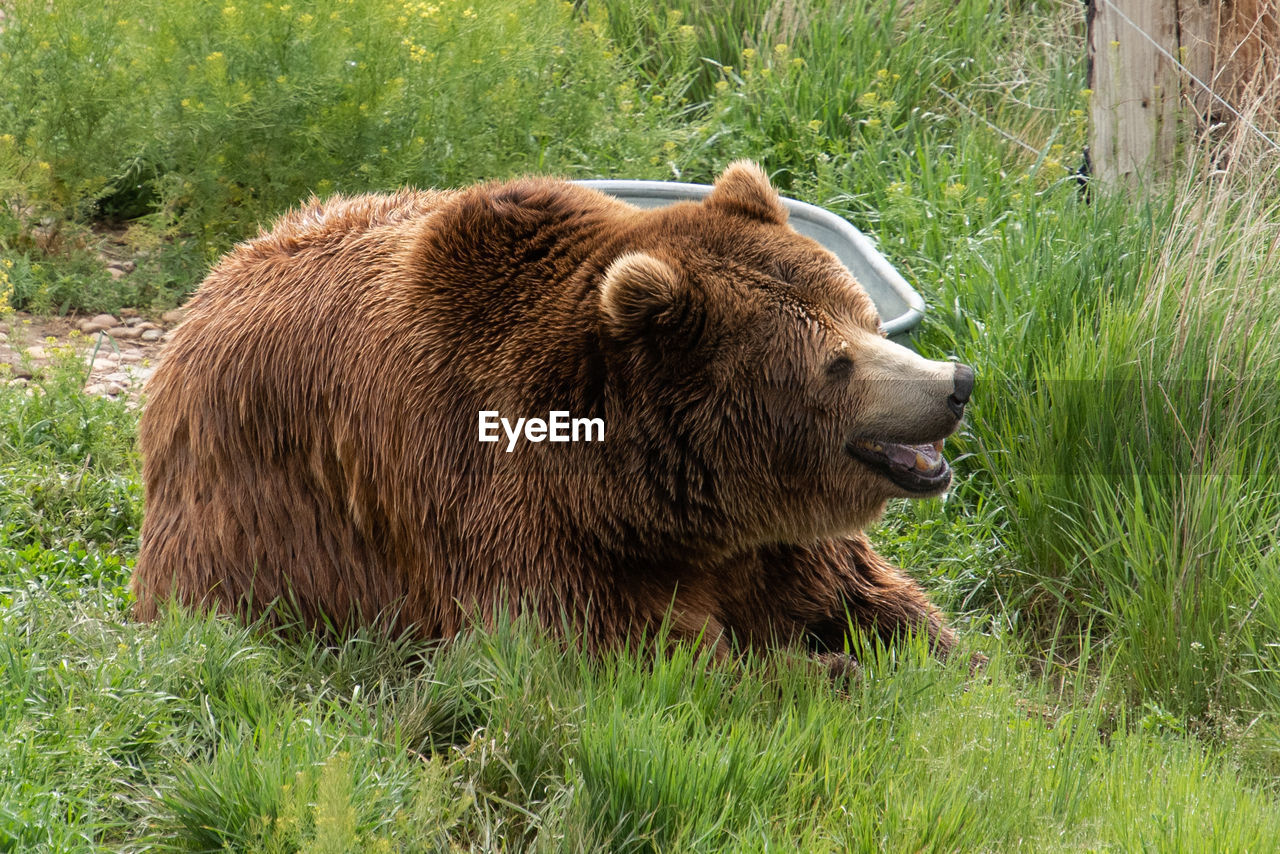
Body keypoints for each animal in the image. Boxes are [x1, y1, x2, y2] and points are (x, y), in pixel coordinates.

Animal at [132, 163, 967, 665]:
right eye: (835, 362)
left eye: (864, 316)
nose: (955, 382)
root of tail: (216, 279)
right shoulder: (520, 523)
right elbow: (628, 651)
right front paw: (814, 671)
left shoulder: (771, 544)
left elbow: (874, 598)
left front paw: (940, 655)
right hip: (247, 521)